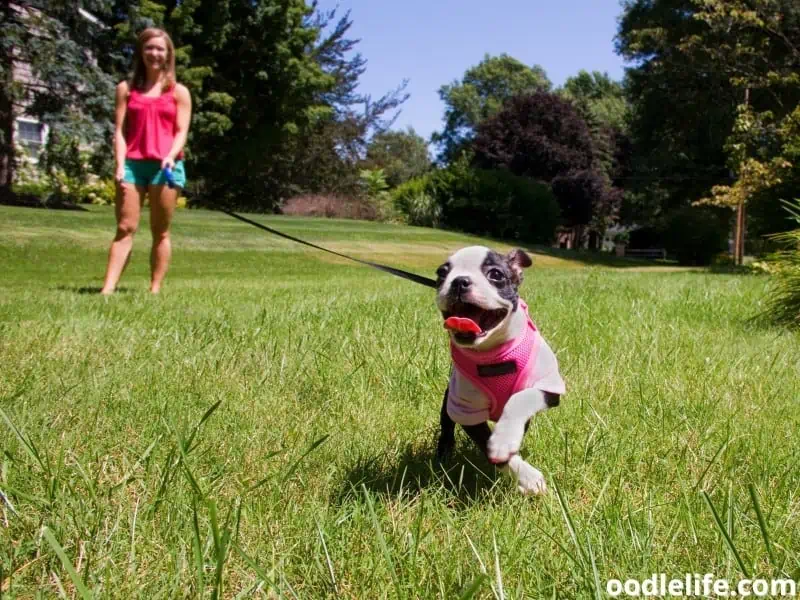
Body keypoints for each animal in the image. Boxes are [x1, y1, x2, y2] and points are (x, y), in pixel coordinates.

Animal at [438, 246, 564, 494]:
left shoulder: (548, 386)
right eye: (441, 274)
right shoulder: (466, 409)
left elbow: (520, 398)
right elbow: (488, 448)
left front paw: (504, 439)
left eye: (495, 274)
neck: (495, 354)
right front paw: (528, 477)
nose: (459, 281)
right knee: (446, 423)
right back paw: (444, 453)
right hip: (450, 398)